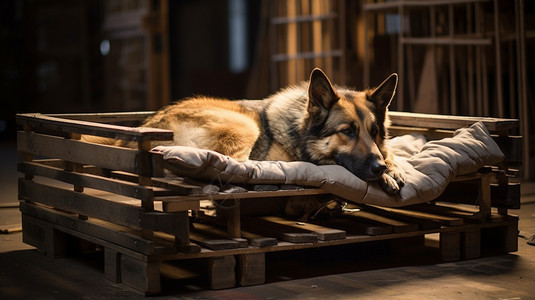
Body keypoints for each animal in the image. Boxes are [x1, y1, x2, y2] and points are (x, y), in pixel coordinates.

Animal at [138, 67, 406, 195]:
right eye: (347, 131)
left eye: (374, 132)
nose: (378, 168)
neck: (299, 131)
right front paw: (386, 175)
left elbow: (389, 152)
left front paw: (393, 168)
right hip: (245, 124)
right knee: (234, 163)